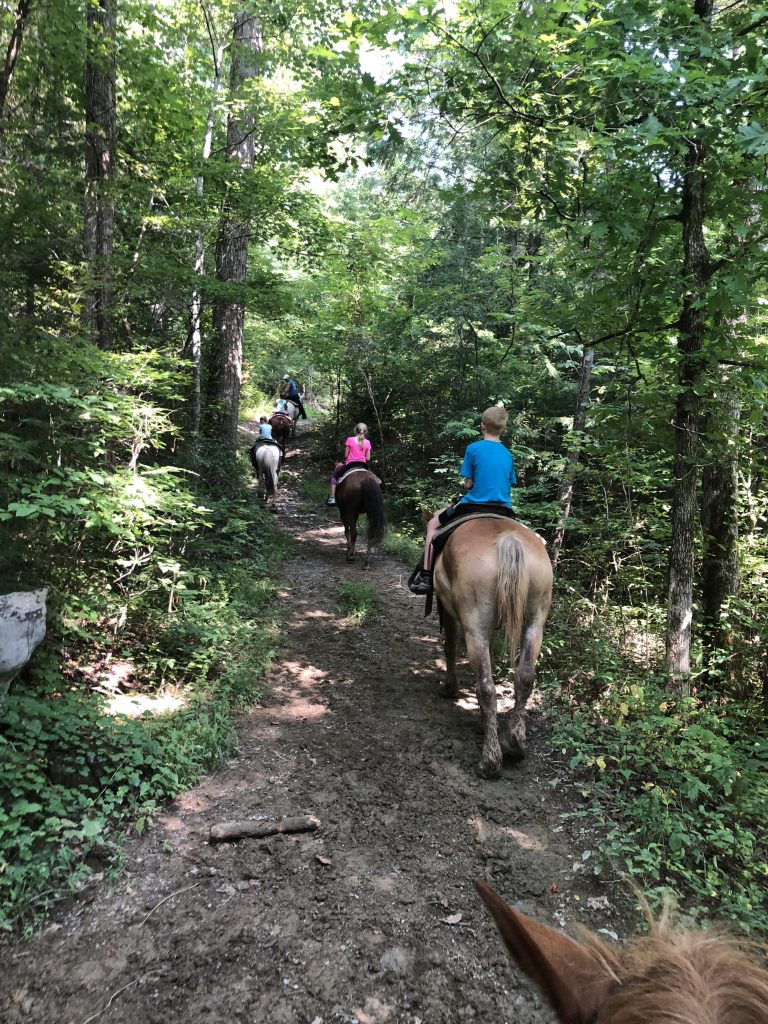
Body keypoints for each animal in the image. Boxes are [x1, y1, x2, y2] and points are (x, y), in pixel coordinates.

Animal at [434, 516, 552, 778]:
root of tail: (509, 539)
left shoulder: (449, 611)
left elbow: (450, 646)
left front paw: (450, 688)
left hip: (475, 628)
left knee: (486, 687)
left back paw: (489, 762)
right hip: (535, 622)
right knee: (525, 677)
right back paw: (515, 744)